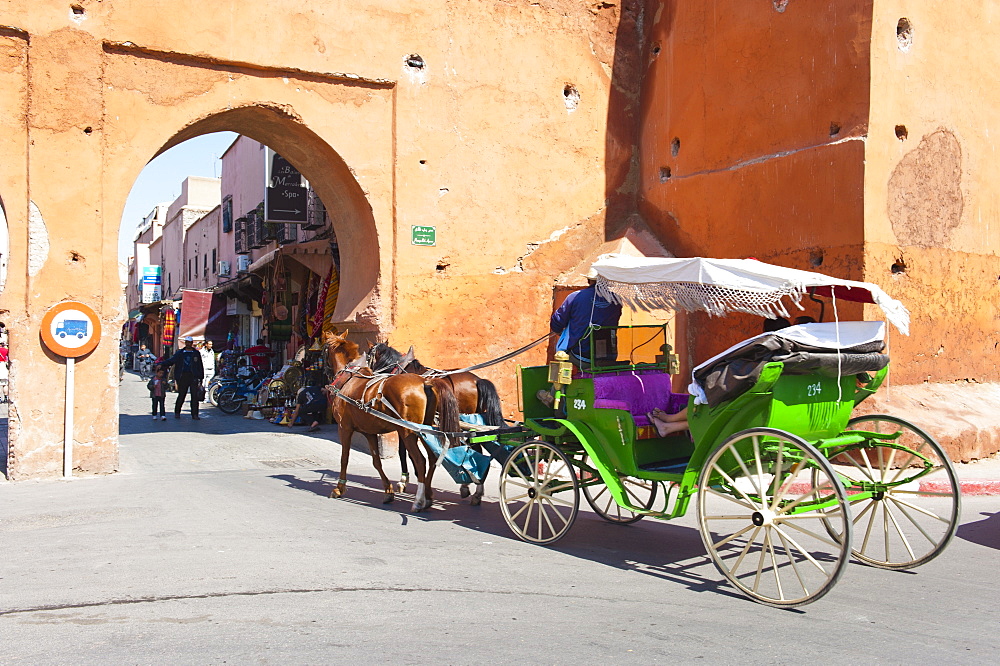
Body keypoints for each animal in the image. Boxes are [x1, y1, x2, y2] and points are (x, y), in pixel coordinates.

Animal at [324, 330, 460, 508]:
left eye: (323, 349)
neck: (350, 378)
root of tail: (425, 383)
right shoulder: (369, 432)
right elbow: (376, 461)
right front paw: (388, 491)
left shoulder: (344, 428)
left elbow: (344, 458)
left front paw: (339, 488)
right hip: (425, 429)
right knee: (431, 458)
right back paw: (428, 495)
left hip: (409, 431)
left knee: (420, 460)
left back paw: (419, 500)